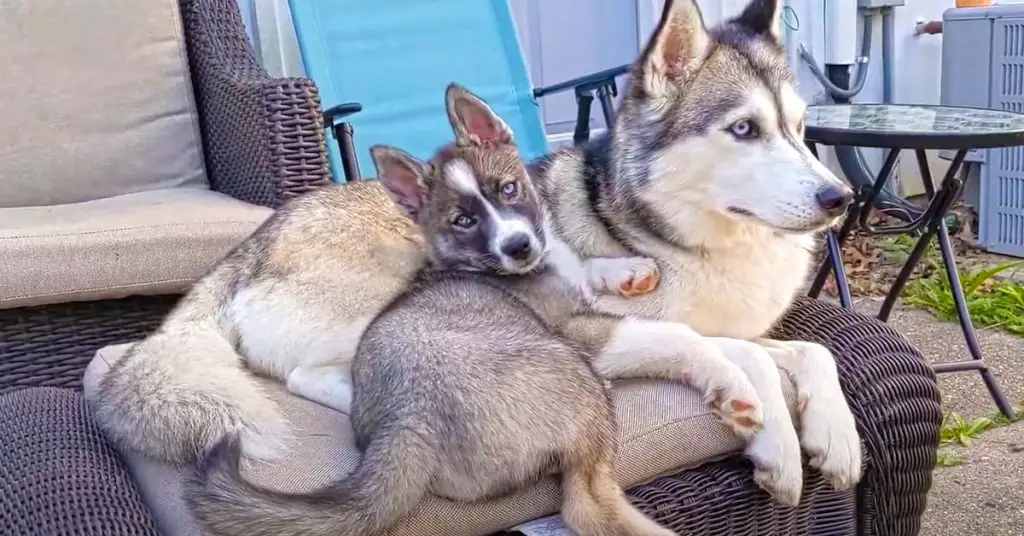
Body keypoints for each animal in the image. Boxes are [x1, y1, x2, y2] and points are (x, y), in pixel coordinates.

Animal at [532, 0, 860, 508]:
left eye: (799, 125)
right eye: (744, 128)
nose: (841, 197)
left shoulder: (744, 327)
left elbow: (816, 350)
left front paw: (837, 436)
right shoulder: (585, 329)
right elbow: (747, 355)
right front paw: (779, 448)